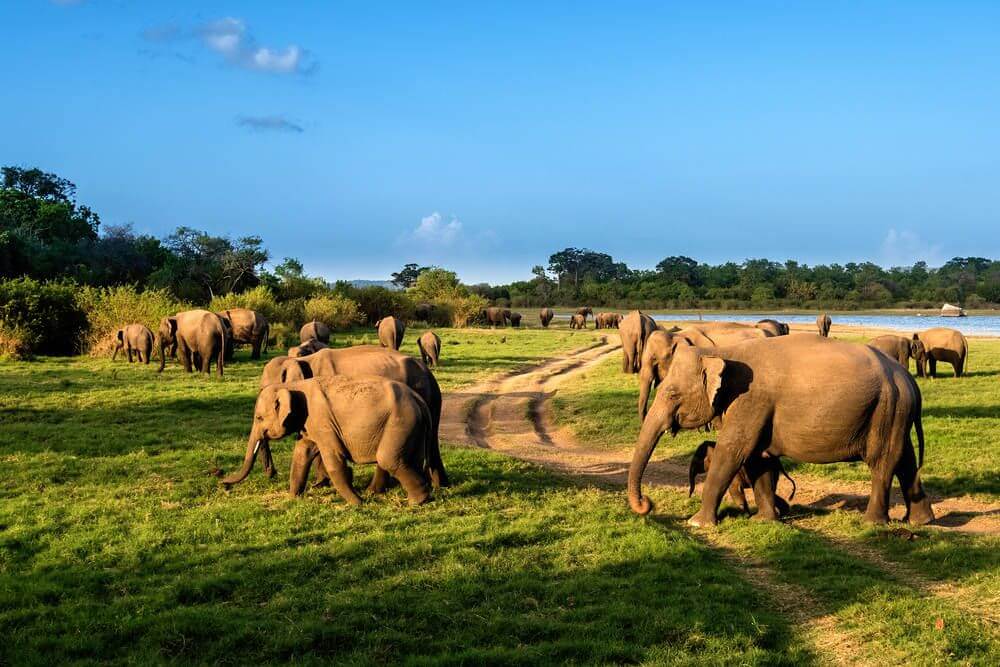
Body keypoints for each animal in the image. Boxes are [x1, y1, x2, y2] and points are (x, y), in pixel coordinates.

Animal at [227, 376, 434, 506]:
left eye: (259, 418)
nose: (225, 483)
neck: (294, 385)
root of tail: (420, 400)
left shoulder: (323, 422)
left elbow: (334, 459)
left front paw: (358, 503)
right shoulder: (309, 425)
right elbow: (301, 454)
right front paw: (292, 498)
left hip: (401, 422)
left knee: (387, 459)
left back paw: (417, 501)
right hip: (409, 427)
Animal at [628, 336, 932, 528]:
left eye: (672, 394)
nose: (647, 504)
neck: (723, 351)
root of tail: (909, 381)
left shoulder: (751, 400)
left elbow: (732, 452)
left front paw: (697, 523)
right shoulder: (756, 409)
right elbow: (758, 458)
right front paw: (763, 520)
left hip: (886, 408)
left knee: (882, 463)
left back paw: (871, 523)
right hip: (895, 413)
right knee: (905, 460)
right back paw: (920, 521)